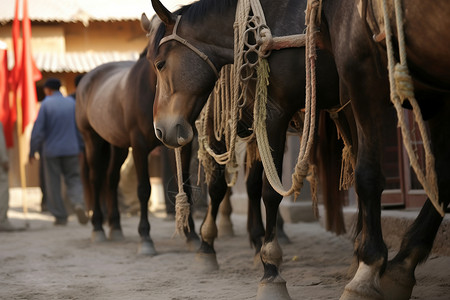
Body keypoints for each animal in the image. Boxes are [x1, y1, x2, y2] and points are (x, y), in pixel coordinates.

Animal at [75, 49, 199, 255]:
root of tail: (85, 79)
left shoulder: (180, 144)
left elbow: (184, 187)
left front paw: (192, 236)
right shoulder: (139, 146)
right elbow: (143, 190)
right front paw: (145, 238)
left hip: (118, 146)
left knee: (111, 179)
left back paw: (116, 227)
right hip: (92, 140)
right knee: (96, 179)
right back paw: (98, 228)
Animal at [142, 0, 350, 298]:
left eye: (159, 64)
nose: (161, 129)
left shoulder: (270, 117)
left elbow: (260, 187)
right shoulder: (222, 126)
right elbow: (222, 187)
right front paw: (208, 246)